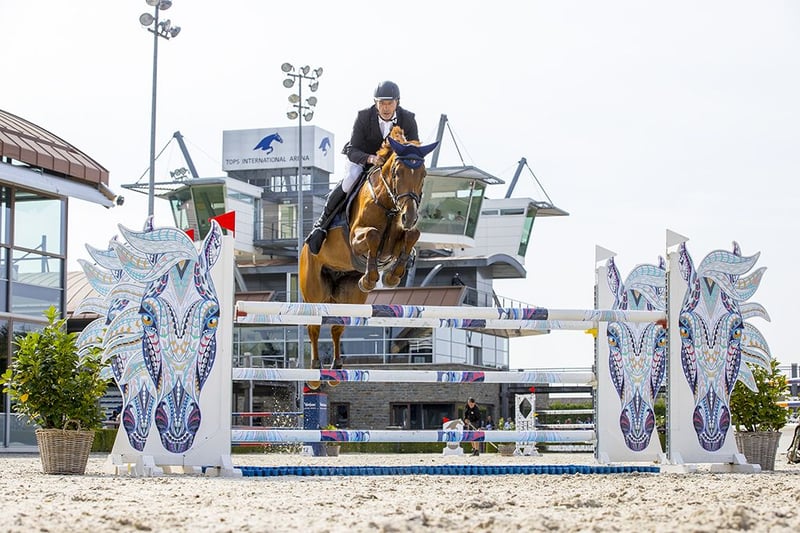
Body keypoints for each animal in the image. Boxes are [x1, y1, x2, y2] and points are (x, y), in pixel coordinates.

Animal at [299, 126, 438, 371]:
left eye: (423, 174)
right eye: (397, 172)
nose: (409, 216)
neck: (389, 205)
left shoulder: (398, 240)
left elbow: (412, 236)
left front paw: (392, 276)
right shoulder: (355, 239)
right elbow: (372, 235)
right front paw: (371, 279)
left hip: (349, 296)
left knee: (337, 326)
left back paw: (337, 365)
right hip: (314, 290)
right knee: (314, 326)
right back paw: (315, 367)